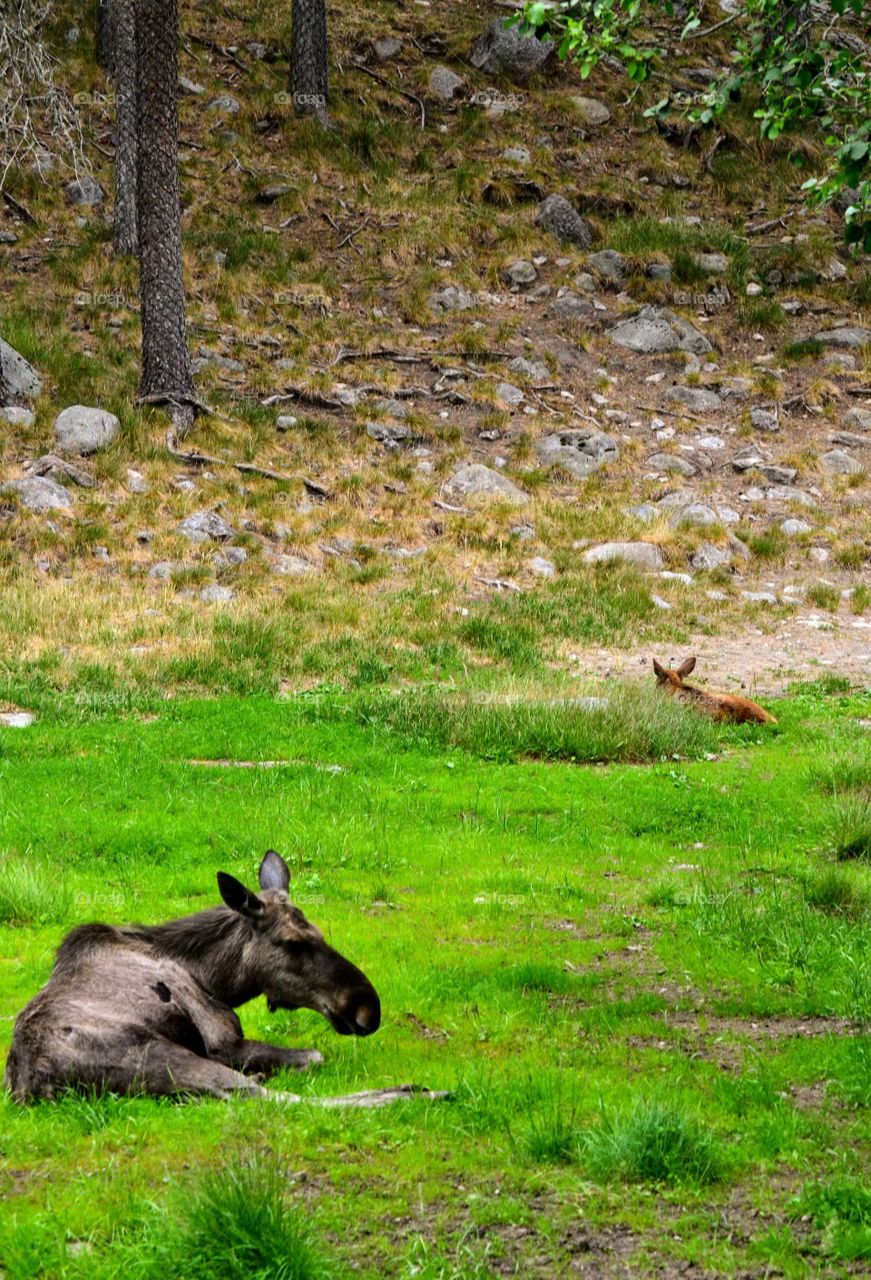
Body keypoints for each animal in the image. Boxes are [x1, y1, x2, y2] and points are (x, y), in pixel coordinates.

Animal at [6, 849, 448, 1111]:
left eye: (320, 932)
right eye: (293, 942)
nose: (366, 1007)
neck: (214, 977)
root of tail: (31, 1088)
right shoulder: (221, 1039)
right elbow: (314, 1056)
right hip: (164, 1056)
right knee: (275, 1099)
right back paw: (417, 1092)